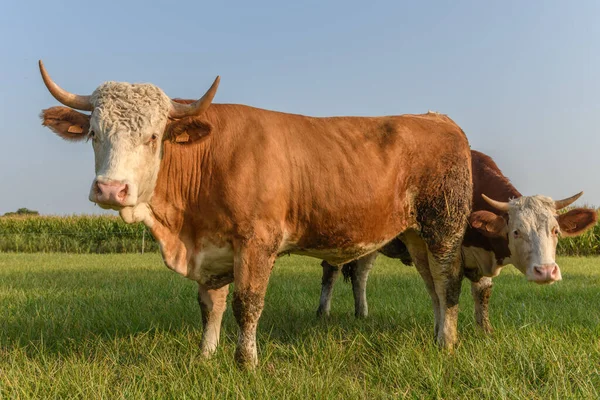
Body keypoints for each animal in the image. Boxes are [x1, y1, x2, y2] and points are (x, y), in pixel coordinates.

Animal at [38, 57, 474, 368]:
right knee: (433, 286)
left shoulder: (257, 240)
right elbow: (210, 305)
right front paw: (205, 356)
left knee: (448, 282)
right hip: (416, 235)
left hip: (444, 226)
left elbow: (246, 303)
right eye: (94, 133)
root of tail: (437, 118)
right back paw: (437, 337)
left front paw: (245, 362)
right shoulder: (211, 249)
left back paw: (448, 343)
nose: (111, 189)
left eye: (153, 136)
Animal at [316, 149, 596, 332]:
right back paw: (323, 312)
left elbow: (482, 293)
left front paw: (485, 333)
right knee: (332, 271)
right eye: (516, 231)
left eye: (555, 231)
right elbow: (443, 291)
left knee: (361, 273)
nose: (546, 271)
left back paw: (361, 313)